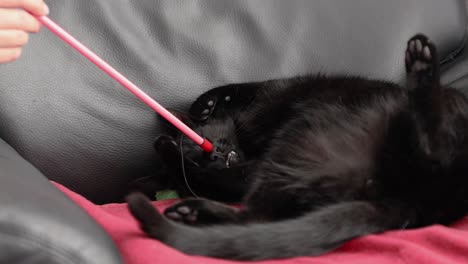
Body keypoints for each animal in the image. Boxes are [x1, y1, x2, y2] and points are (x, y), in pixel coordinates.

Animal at [126, 34, 468, 260]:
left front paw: (204, 106)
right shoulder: (241, 171)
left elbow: (243, 88)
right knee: (256, 219)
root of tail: (412, 199)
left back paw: (422, 68)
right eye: (196, 157)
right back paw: (191, 212)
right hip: (299, 147)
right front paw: (172, 149)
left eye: (197, 142)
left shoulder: (277, 89)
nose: (216, 156)